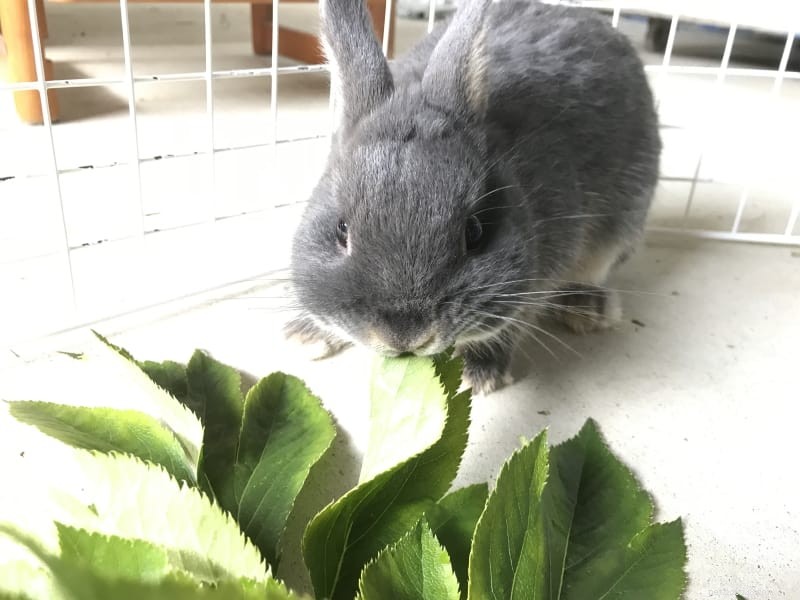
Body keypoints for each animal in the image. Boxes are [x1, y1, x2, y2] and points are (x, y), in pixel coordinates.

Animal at [285, 0, 661, 394]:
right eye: (341, 230)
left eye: (475, 232)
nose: (404, 335)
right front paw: (306, 335)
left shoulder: (537, 275)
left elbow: (512, 322)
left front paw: (477, 374)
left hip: (620, 229)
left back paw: (586, 308)